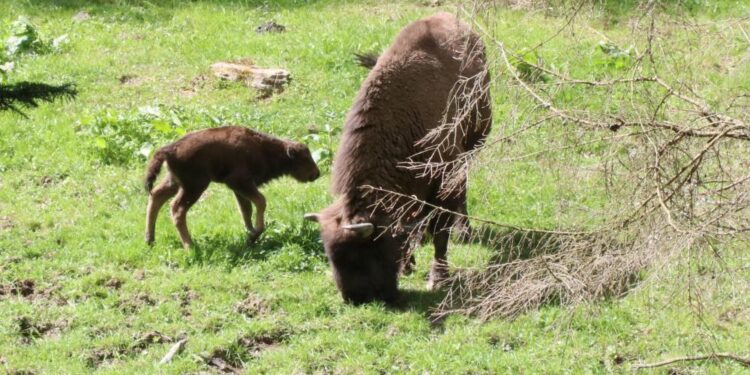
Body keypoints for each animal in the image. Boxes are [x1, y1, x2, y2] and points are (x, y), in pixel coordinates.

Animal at [145, 126, 320, 250]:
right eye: (305, 158)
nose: (316, 173)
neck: (264, 148)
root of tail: (169, 149)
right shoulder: (239, 182)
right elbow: (261, 201)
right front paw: (255, 234)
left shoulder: (239, 189)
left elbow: (246, 210)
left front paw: (251, 235)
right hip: (194, 187)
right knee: (177, 209)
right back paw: (190, 246)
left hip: (175, 182)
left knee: (156, 195)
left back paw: (150, 239)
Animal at [306, 12, 494, 306]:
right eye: (331, 256)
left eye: (364, 254)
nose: (355, 298)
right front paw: (408, 264)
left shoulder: (444, 178)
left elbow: (440, 231)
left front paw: (438, 278)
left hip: (474, 144)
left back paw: (464, 230)